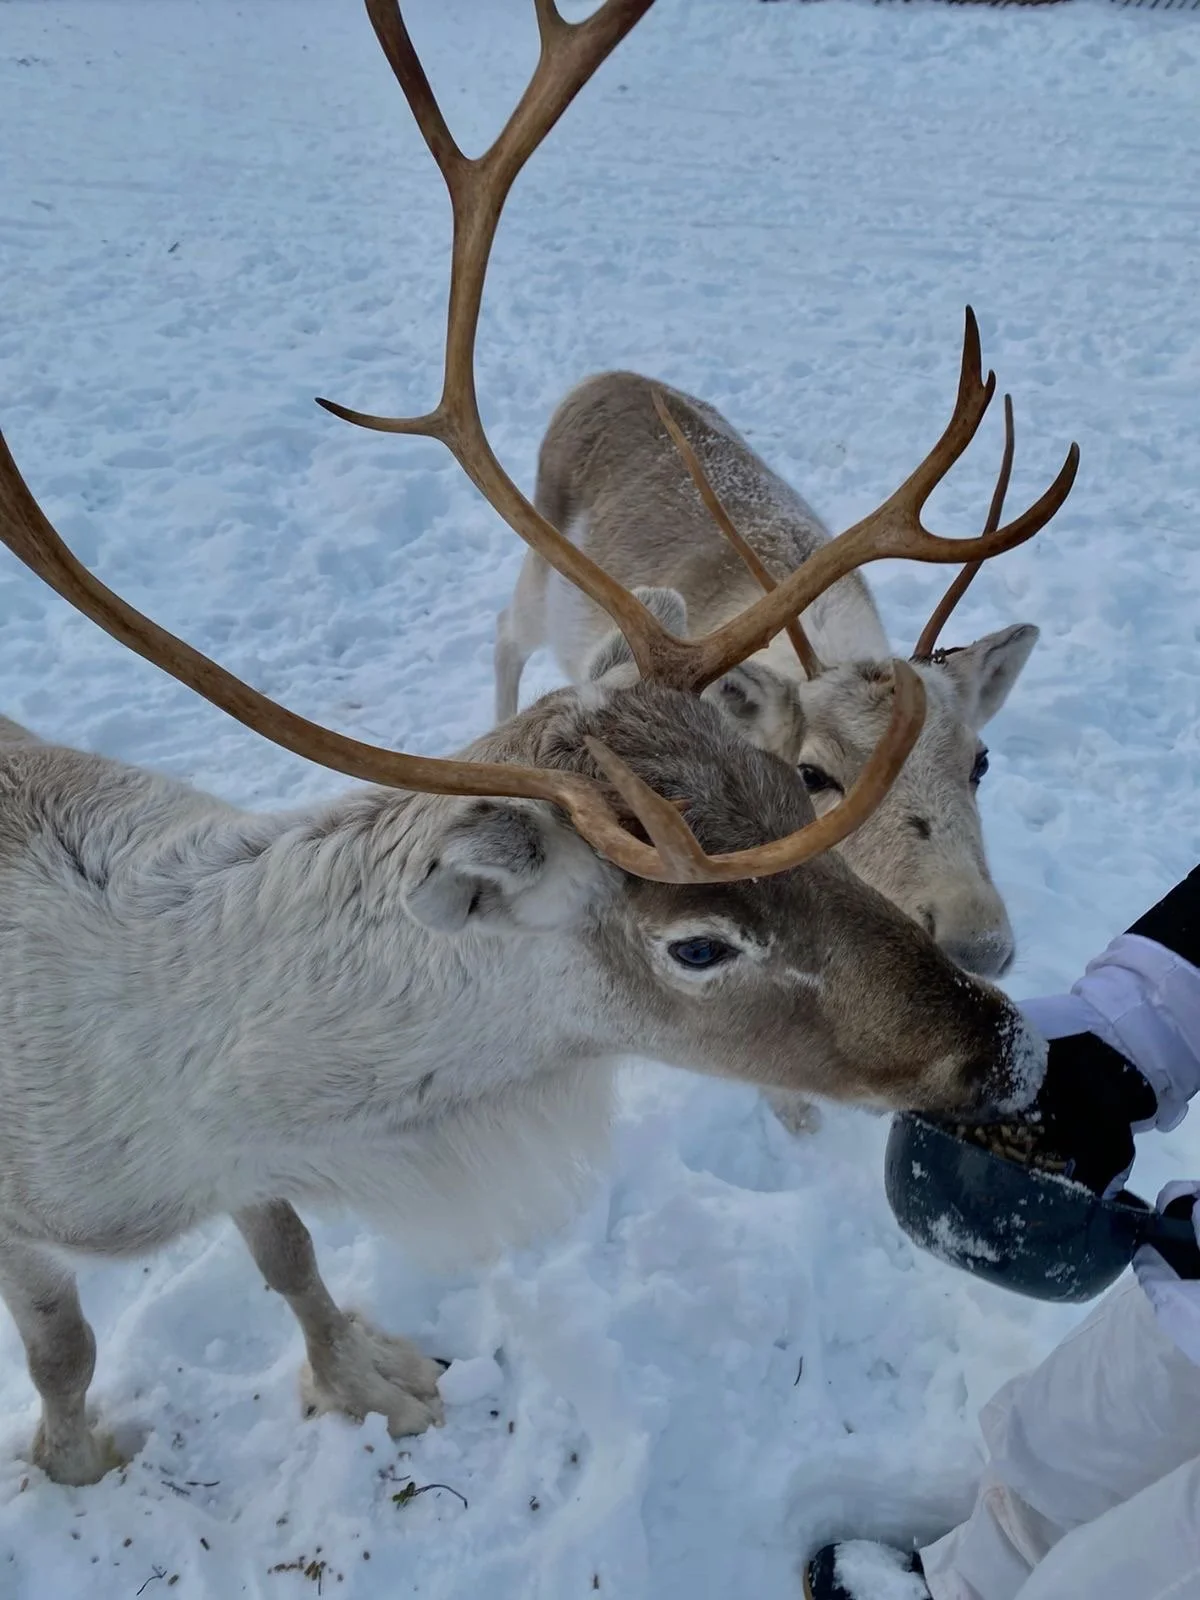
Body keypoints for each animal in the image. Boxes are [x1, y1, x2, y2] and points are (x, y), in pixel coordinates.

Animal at [0, 0, 1077, 1487]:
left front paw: (369, 1375)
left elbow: (292, 1256)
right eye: (696, 944)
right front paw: (75, 1459)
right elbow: (65, 1345)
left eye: (779, 788)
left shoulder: (246, 1168)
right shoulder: (26, 1210)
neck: (164, 1119)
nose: (1012, 1045)